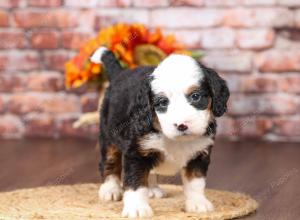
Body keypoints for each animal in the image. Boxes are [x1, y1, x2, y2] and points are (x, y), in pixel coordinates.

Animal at [91, 46, 230, 218]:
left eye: (196, 96)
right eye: (163, 102)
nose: (181, 125)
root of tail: (119, 74)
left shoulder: (199, 154)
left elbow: (195, 182)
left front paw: (197, 203)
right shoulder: (136, 152)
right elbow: (136, 182)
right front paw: (137, 208)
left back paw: (151, 188)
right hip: (108, 135)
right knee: (109, 162)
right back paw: (110, 189)